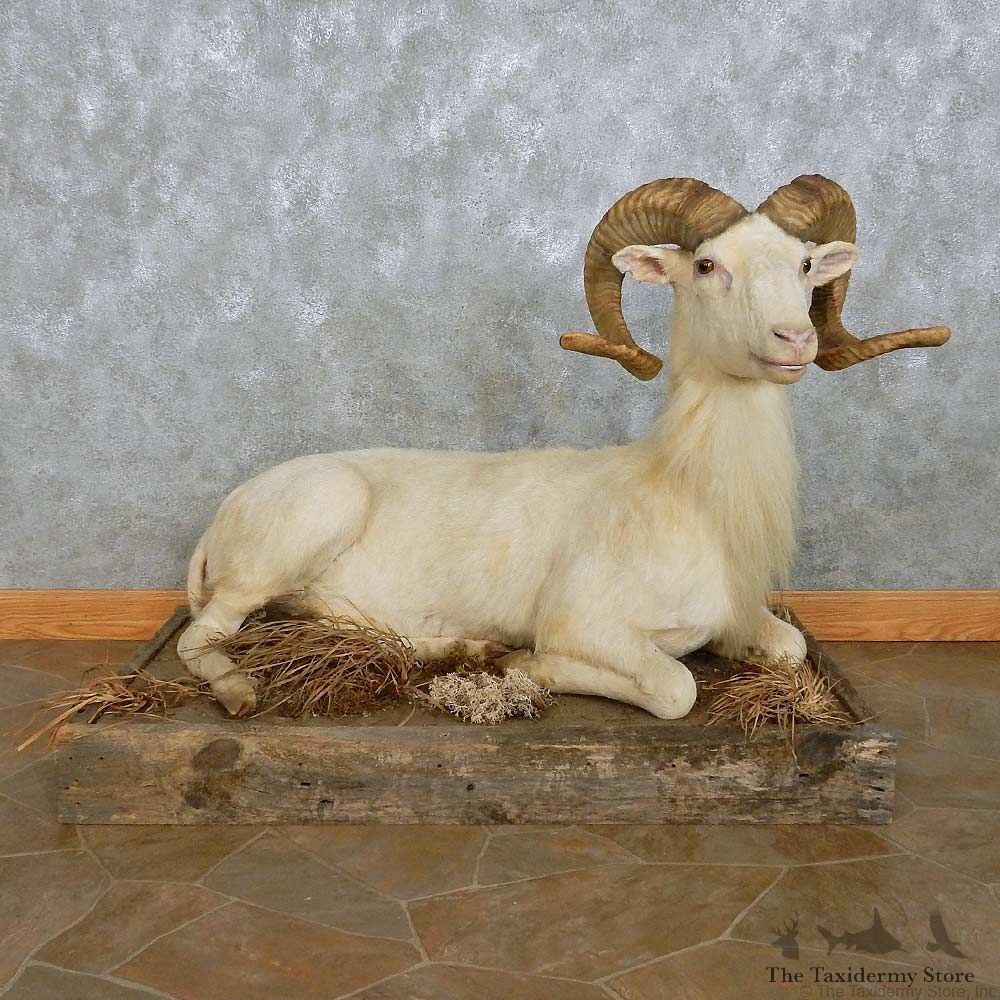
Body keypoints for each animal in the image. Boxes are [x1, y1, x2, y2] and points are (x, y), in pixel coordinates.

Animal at [178, 175, 949, 719]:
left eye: (806, 264)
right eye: (705, 266)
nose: (795, 339)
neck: (685, 496)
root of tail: (224, 516)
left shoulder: (739, 619)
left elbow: (790, 649)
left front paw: (504, 661)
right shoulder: (588, 625)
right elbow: (676, 687)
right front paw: (528, 668)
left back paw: (464, 646)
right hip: (291, 541)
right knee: (200, 638)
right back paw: (243, 693)